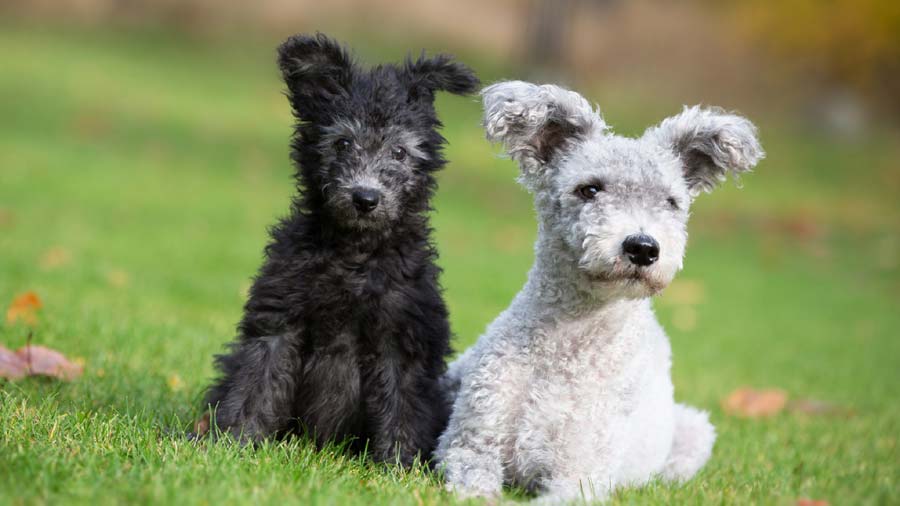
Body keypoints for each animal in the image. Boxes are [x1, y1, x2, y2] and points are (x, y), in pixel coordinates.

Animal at [205, 32, 478, 466]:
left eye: (399, 152)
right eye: (343, 143)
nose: (365, 198)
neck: (355, 254)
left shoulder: (402, 339)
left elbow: (401, 408)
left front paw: (398, 468)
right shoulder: (278, 323)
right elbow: (255, 387)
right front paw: (230, 445)